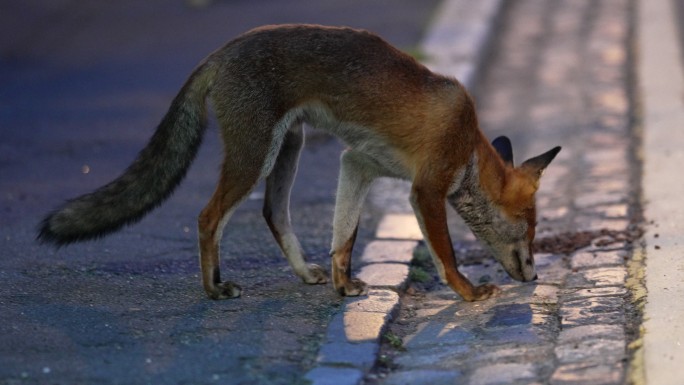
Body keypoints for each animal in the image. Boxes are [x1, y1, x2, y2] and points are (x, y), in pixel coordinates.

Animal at [37, 24, 560, 302]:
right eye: (530, 229)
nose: (535, 277)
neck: (468, 144)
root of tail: (223, 50)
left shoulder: (358, 164)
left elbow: (342, 238)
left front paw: (341, 285)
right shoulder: (426, 189)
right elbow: (445, 254)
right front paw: (469, 293)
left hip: (288, 148)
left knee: (273, 212)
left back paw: (304, 275)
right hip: (255, 155)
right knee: (208, 217)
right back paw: (213, 289)